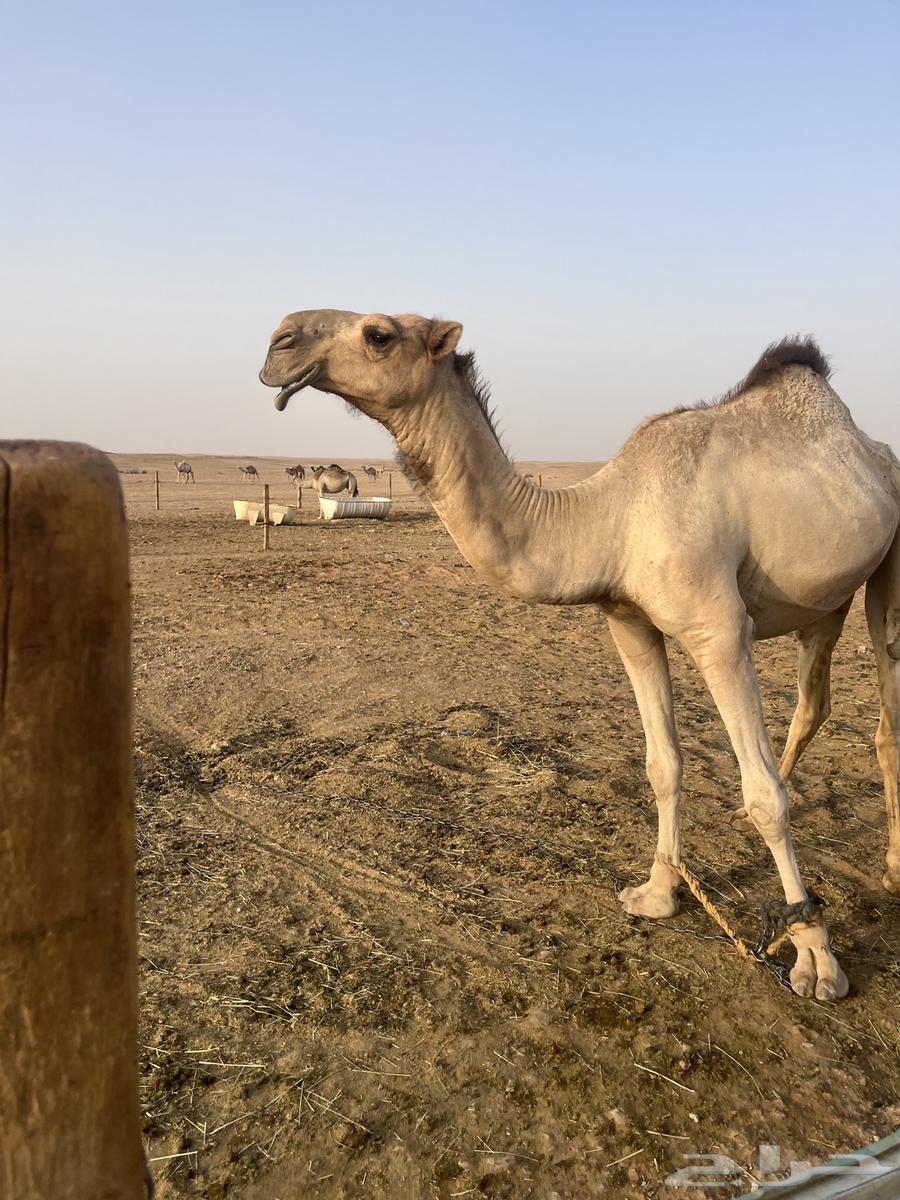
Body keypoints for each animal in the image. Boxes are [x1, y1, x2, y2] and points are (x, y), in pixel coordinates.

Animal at [260, 309, 900, 1002]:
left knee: (883, 720)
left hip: (887, 571)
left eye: (378, 334)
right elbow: (663, 765)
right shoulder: (630, 623)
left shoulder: (719, 630)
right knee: (814, 700)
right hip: (825, 597)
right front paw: (657, 893)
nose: (278, 342)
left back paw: (892, 868)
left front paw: (816, 958)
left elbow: (766, 797)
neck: (610, 520)